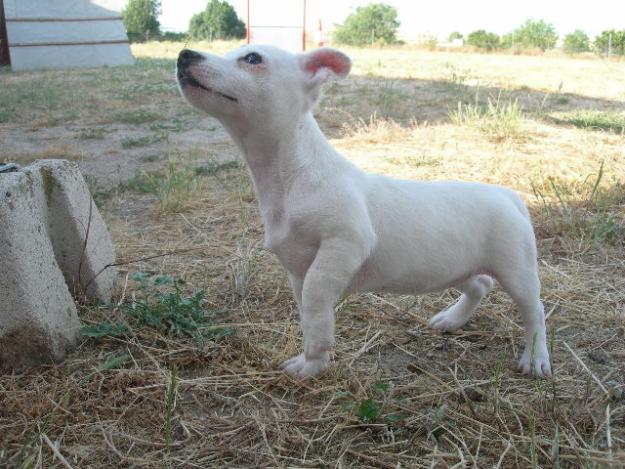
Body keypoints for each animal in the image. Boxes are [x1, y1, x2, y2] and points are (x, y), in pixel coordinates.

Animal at [177, 45, 552, 378]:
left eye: (252, 58)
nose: (184, 55)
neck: (288, 173)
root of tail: (507, 195)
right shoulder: (298, 268)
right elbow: (308, 312)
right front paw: (313, 362)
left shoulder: (344, 243)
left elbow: (315, 300)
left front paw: (313, 360)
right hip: (457, 264)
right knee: (480, 285)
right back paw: (451, 319)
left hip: (517, 269)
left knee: (534, 311)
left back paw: (535, 358)